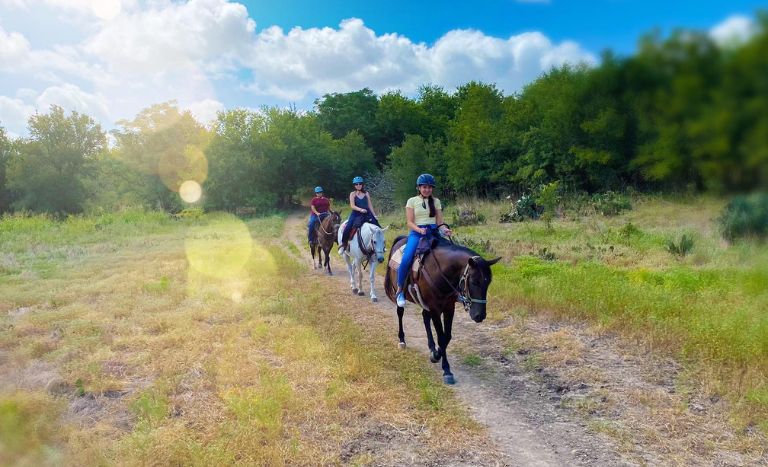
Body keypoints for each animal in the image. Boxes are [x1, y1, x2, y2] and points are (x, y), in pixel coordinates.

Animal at [382, 236, 500, 386]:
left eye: (488, 282)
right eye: (474, 282)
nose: (480, 315)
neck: (441, 272)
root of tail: (401, 239)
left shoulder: (449, 308)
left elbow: (447, 336)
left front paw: (436, 354)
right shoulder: (435, 309)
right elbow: (442, 337)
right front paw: (446, 369)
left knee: (425, 318)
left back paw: (431, 347)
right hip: (399, 293)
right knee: (400, 313)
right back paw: (402, 340)